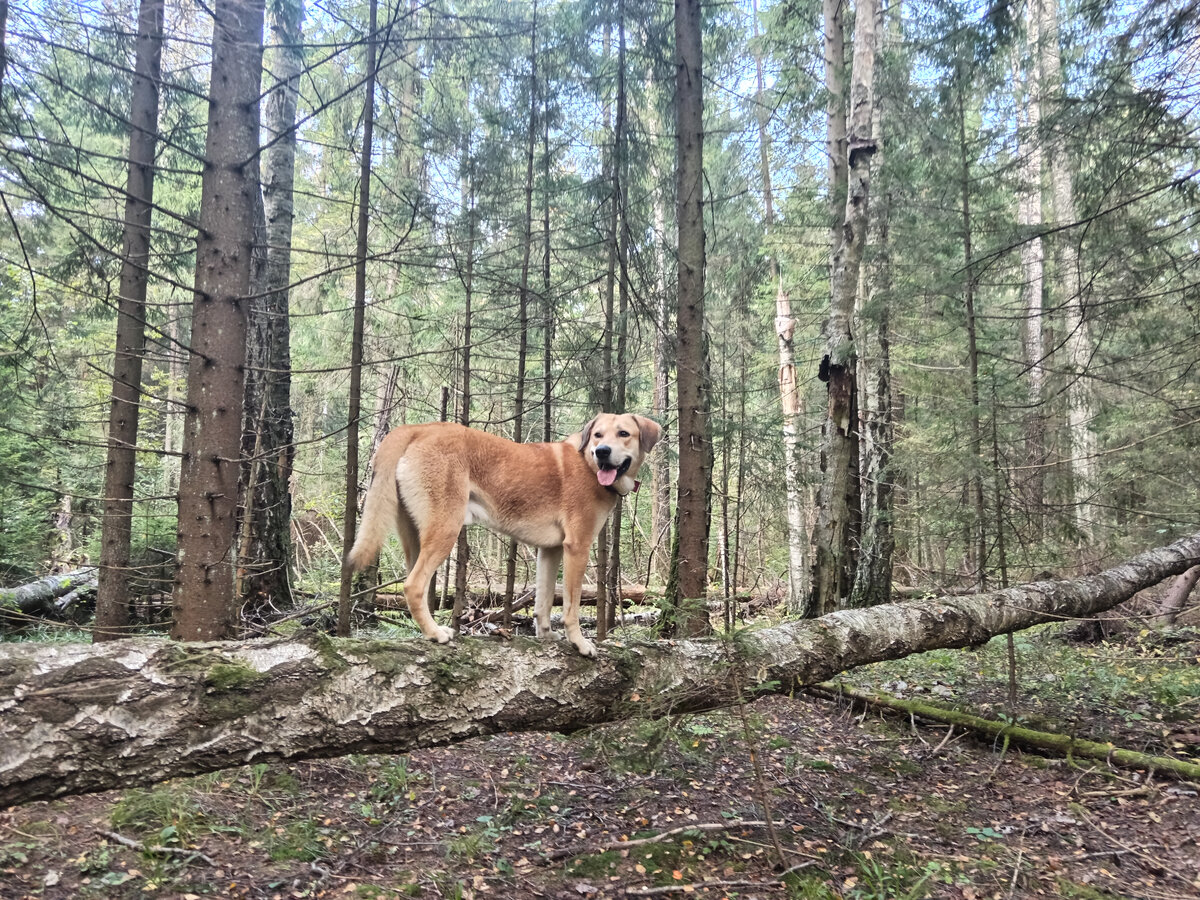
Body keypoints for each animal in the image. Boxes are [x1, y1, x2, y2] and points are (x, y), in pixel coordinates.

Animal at [348, 415, 662, 657]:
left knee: (418, 587)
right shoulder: (577, 547)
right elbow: (571, 607)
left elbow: (544, 601)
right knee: (413, 586)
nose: (603, 451)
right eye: (598, 435)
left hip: (415, 535)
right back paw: (436, 634)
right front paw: (580, 644)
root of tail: (417, 428)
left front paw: (546, 635)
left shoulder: (550, 551)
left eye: (623, 433)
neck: (587, 463)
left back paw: (429, 631)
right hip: (445, 529)